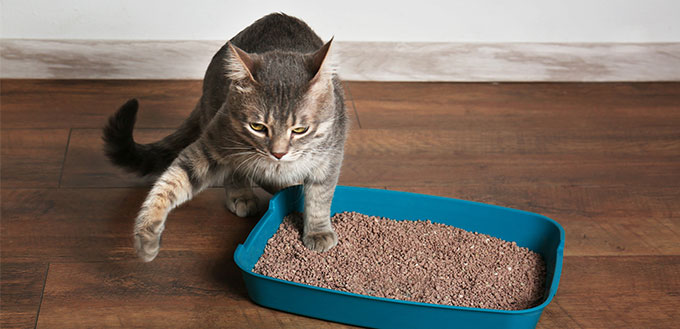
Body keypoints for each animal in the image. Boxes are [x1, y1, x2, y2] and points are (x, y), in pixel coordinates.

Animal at [103, 13, 348, 262]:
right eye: (257, 127)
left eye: (300, 130)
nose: (278, 153)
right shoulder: (213, 144)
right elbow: (172, 182)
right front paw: (147, 232)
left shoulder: (329, 158)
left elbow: (319, 197)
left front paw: (318, 232)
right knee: (235, 173)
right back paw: (243, 195)